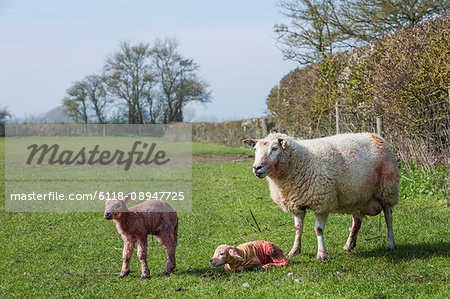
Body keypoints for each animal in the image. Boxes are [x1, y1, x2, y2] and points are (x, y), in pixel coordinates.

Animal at [244, 134, 400, 260]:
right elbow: (298, 228)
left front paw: (321, 253)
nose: (256, 168)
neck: (299, 161)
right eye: (255, 149)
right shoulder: (296, 204)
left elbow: (318, 230)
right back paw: (349, 245)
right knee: (357, 221)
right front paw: (294, 250)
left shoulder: (322, 202)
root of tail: (376, 136)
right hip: (358, 197)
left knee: (389, 217)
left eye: (275, 148)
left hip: (387, 190)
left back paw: (390, 243)